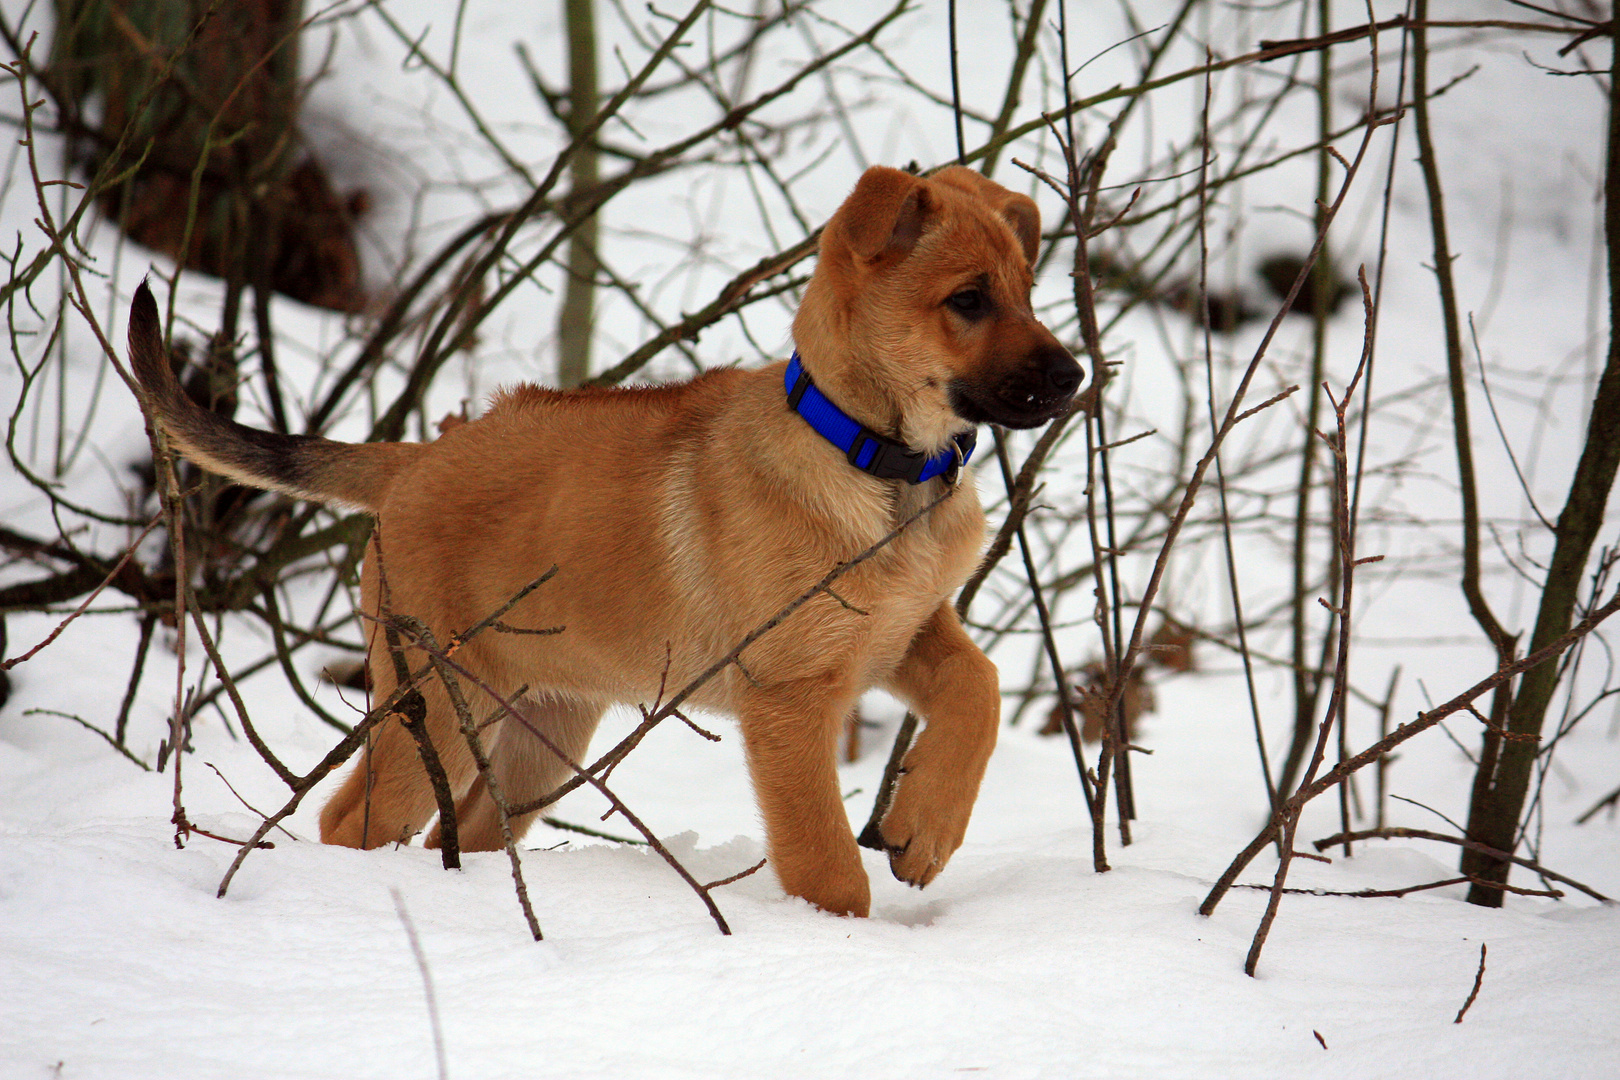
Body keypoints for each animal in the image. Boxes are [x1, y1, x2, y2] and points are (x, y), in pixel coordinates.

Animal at [126, 165, 1082, 919]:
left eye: (1029, 294)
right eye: (968, 300)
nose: (1075, 377)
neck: (878, 468)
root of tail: (418, 457)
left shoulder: (907, 630)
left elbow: (982, 686)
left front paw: (926, 829)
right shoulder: (791, 696)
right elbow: (825, 862)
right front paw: (846, 938)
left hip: (538, 732)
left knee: (464, 833)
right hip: (431, 699)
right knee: (348, 819)